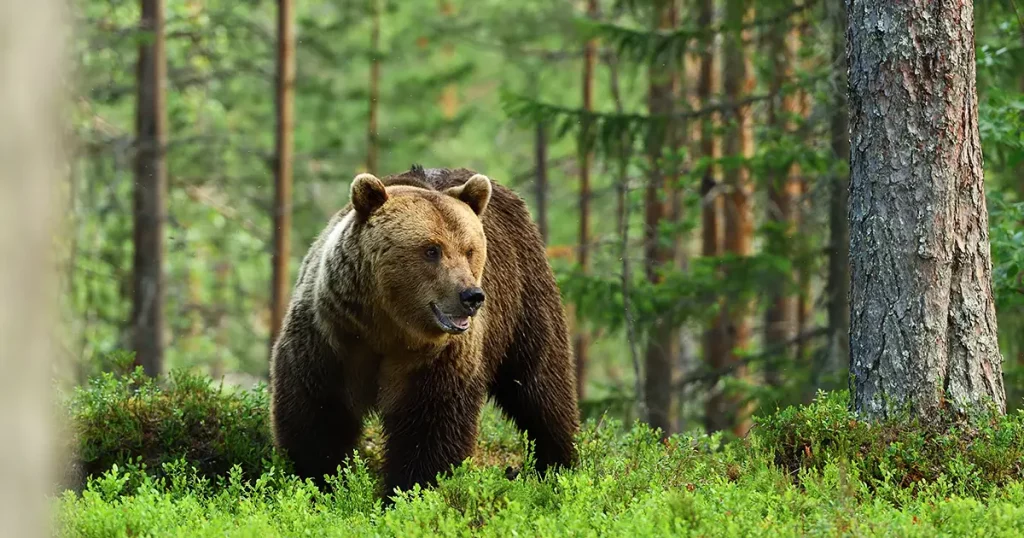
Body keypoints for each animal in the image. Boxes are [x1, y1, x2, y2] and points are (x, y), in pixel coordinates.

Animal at [268, 164, 581, 500]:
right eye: (432, 249)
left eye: (469, 250)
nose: (471, 296)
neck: (387, 328)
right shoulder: (331, 338)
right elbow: (318, 414)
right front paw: (317, 480)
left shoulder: (437, 358)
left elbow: (430, 426)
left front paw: (409, 490)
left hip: (524, 295)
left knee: (541, 383)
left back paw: (557, 464)